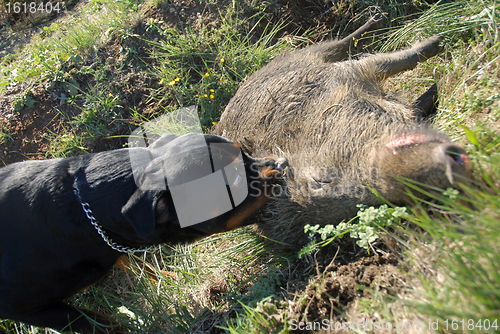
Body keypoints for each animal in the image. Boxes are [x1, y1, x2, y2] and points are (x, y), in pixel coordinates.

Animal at [0, 134, 286, 334]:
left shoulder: (114, 242)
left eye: (246, 153)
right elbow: (101, 323)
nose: (282, 164)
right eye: (237, 182)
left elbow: (135, 263)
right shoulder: (30, 310)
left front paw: (171, 278)